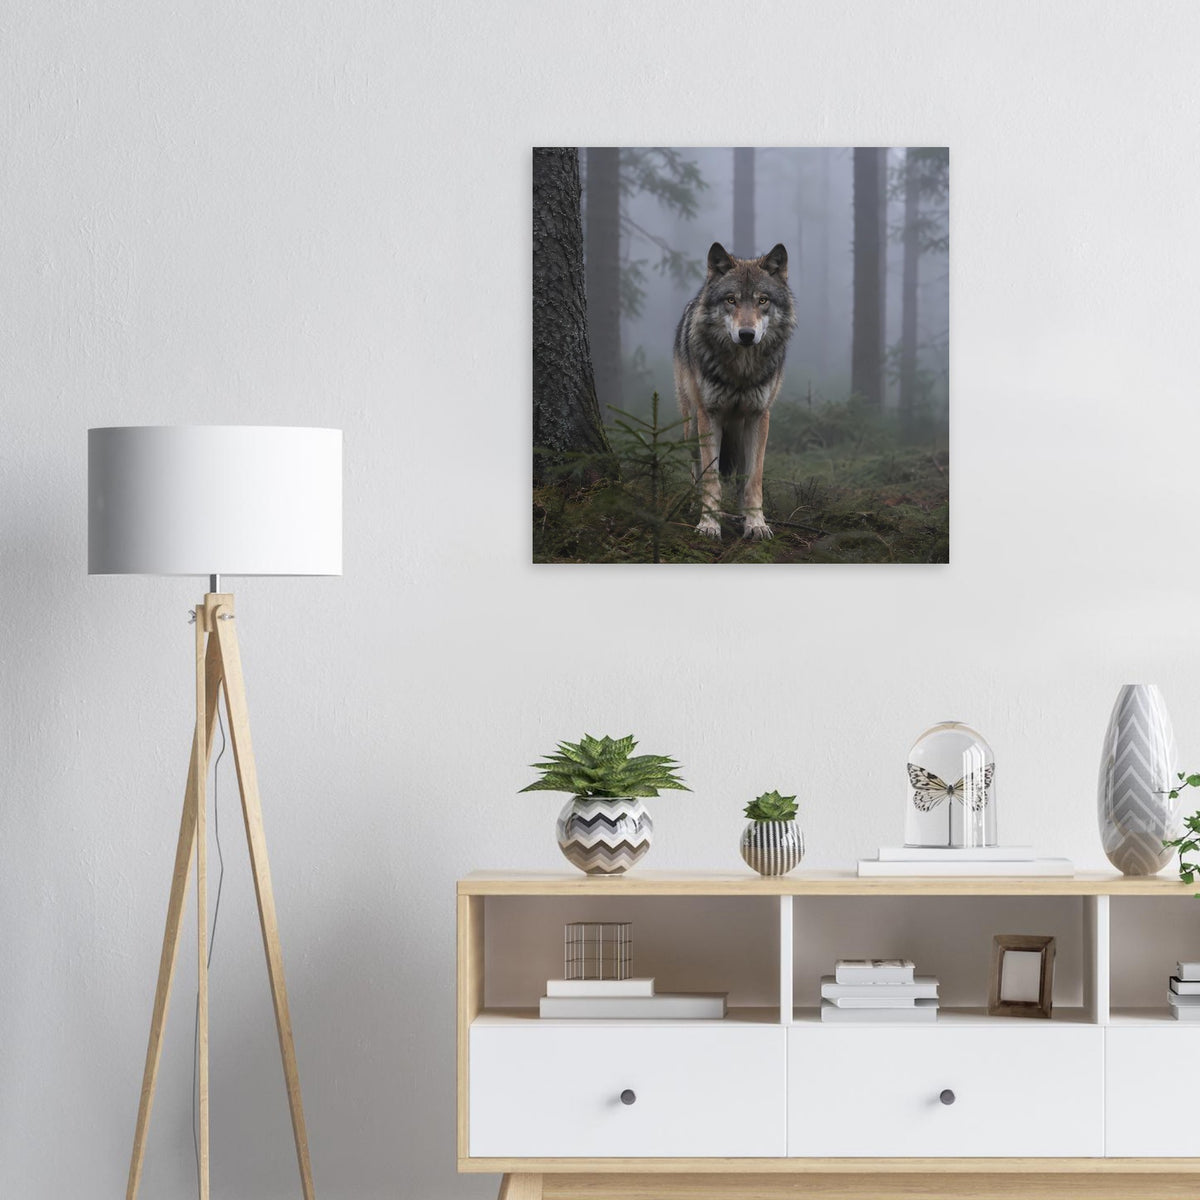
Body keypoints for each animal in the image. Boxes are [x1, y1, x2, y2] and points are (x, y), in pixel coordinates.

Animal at [673, 242, 797, 539]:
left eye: (763, 300)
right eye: (731, 300)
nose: (747, 335)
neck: (741, 371)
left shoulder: (759, 416)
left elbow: (753, 480)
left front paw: (756, 523)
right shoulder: (709, 414)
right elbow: (711, 478)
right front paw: (708, 524)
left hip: (740, 433)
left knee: (741, 476)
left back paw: (742, 515)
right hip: (691, 425)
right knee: (696, 469)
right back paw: (694, 506)